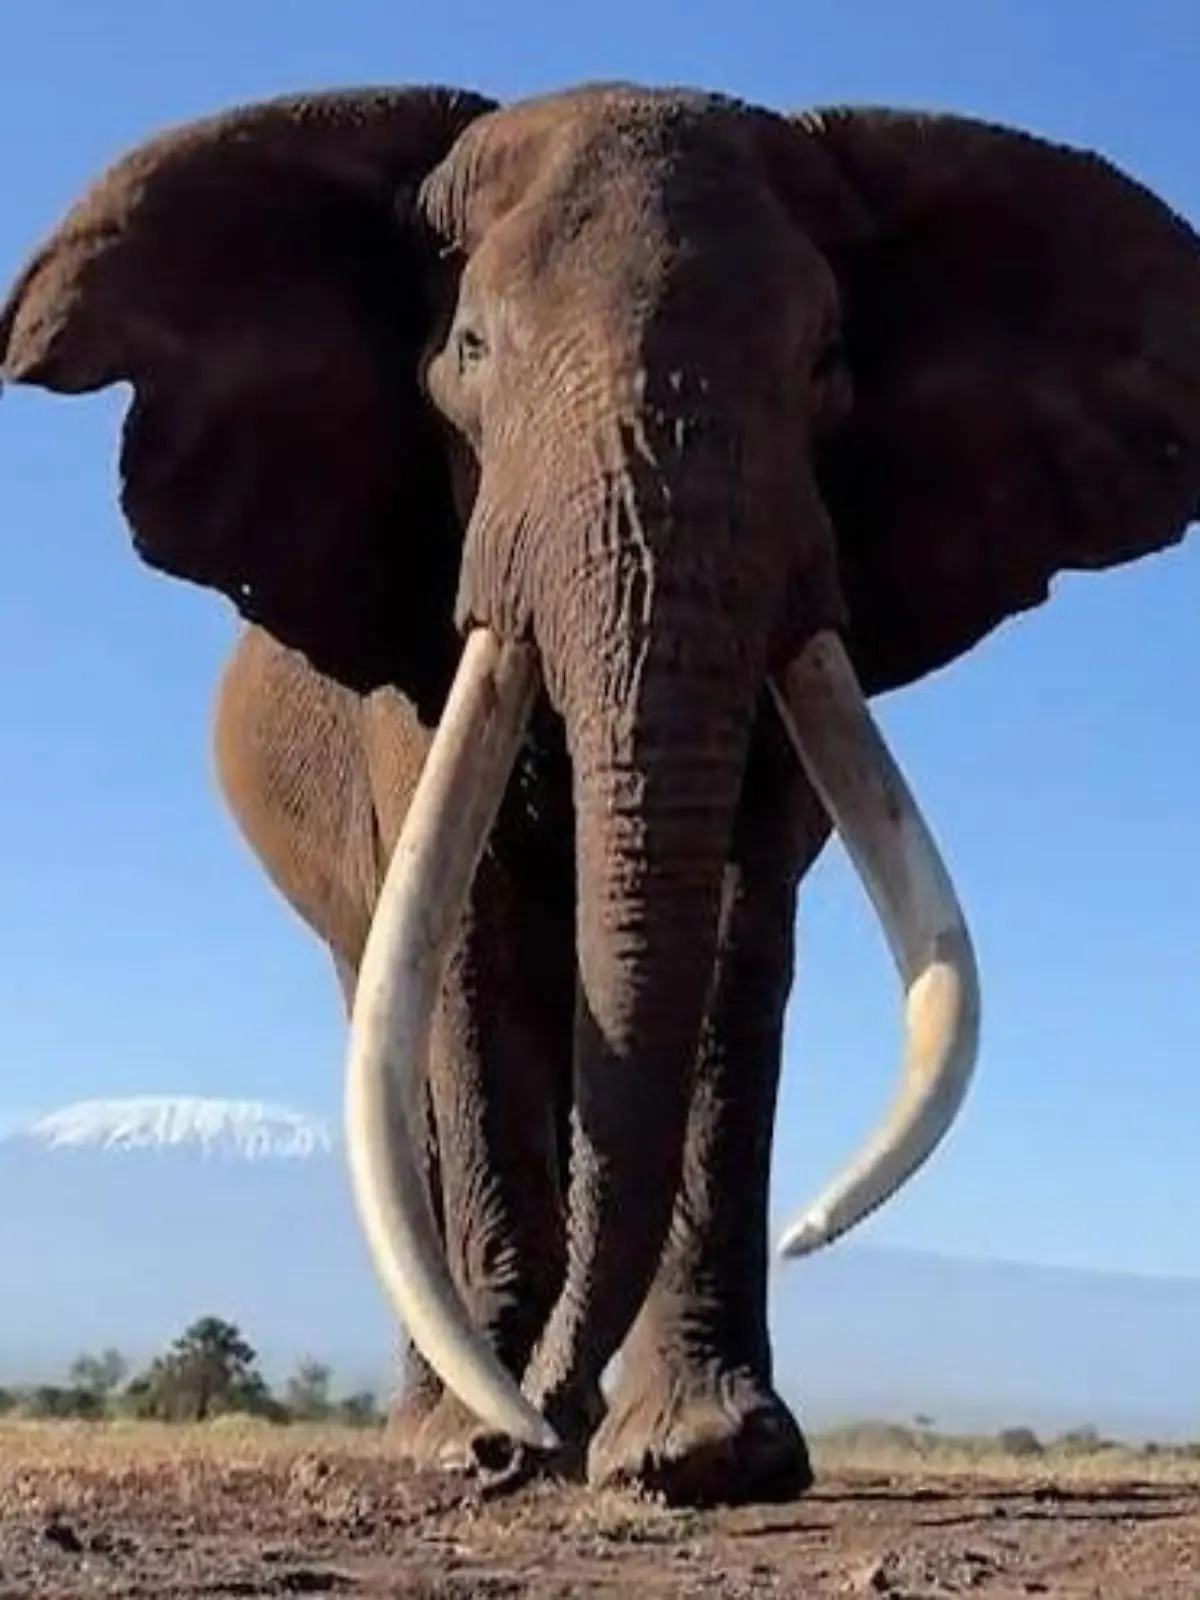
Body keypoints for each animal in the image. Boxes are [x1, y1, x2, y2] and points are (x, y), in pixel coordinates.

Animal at [3, 81, 1199, 1509]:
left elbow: (733, 934)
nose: (535, 1433)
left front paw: (705, 1456)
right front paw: (486, 1442)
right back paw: (443, 1412)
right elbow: (470, 951)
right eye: (468, 348)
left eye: (826, 363)